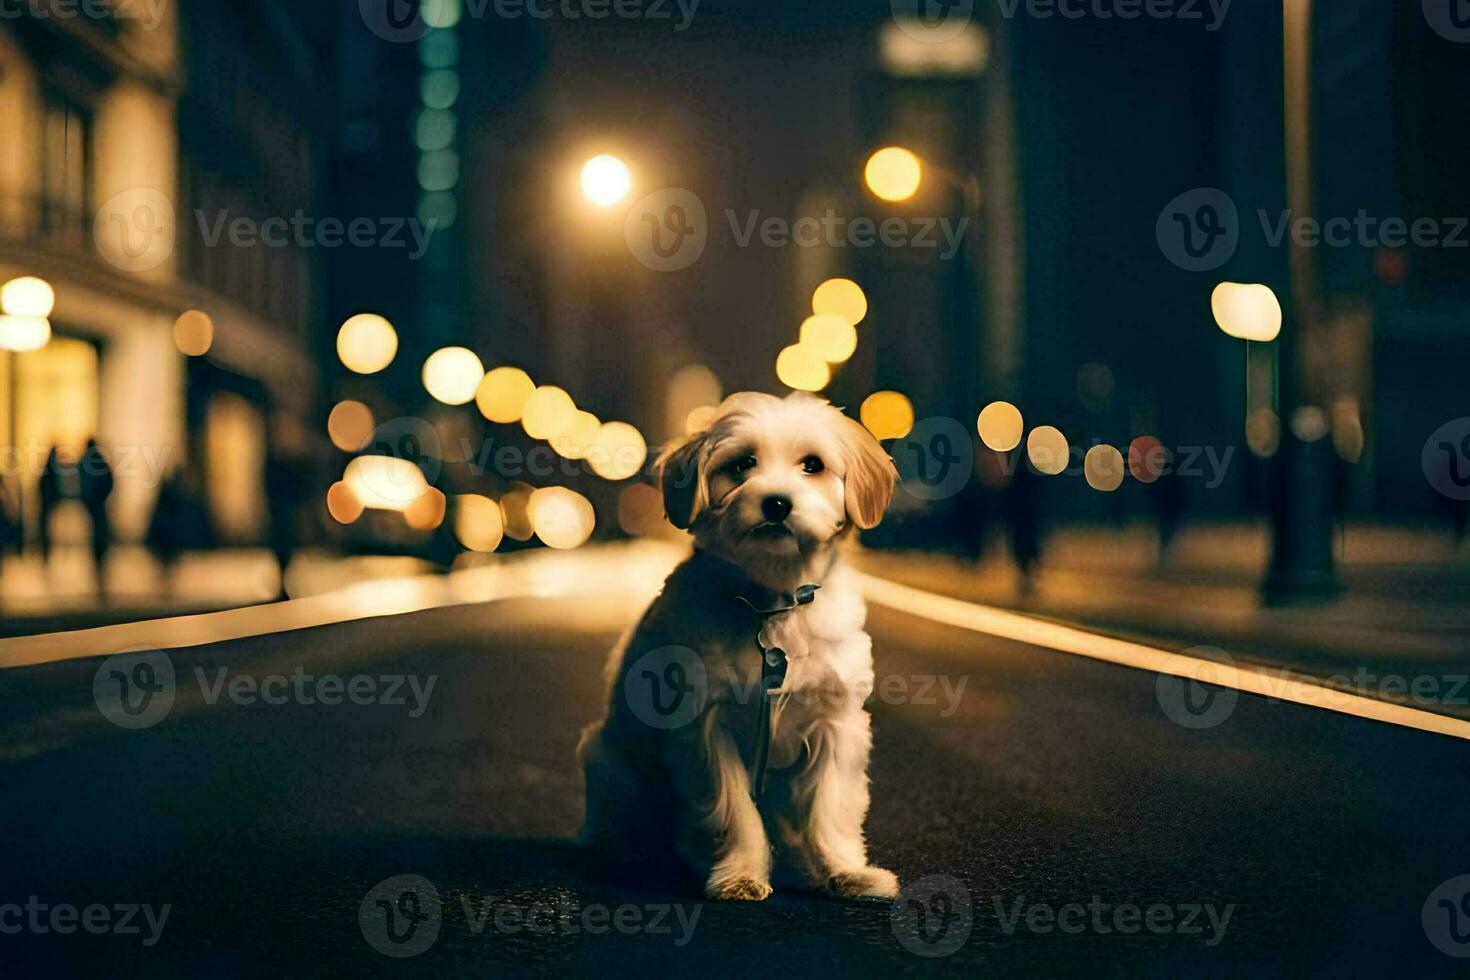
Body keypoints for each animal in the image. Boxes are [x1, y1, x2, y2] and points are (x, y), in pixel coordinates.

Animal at [579, 393, 899, 905]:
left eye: (813, 465)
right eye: (743, 464)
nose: (777, 503)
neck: (772, 605)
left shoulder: (836, 725)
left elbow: (832, 809)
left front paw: (846, 872)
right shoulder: (706, 729)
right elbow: (734, 812)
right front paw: (741, 874)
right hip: (609, 763)